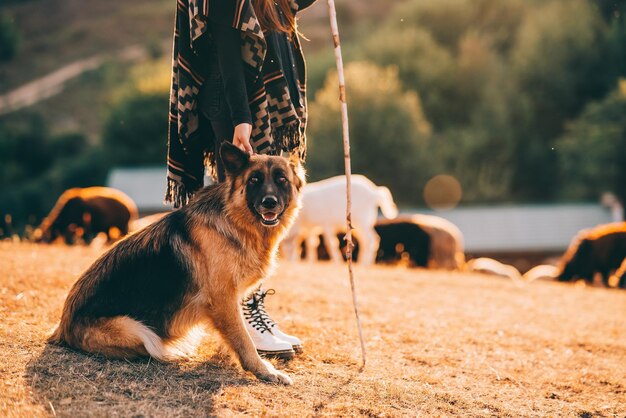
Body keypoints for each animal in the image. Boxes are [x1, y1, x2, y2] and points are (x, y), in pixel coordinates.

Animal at [48, 144, 302, 386]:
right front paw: (264, 370)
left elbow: (236, 335)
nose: (269, 203)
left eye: (281, 179)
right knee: (152, 347)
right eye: (254, 180)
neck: (233, 220)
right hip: (139, 331)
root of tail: (62, 327)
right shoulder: (222, 299)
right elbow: (243, 339)